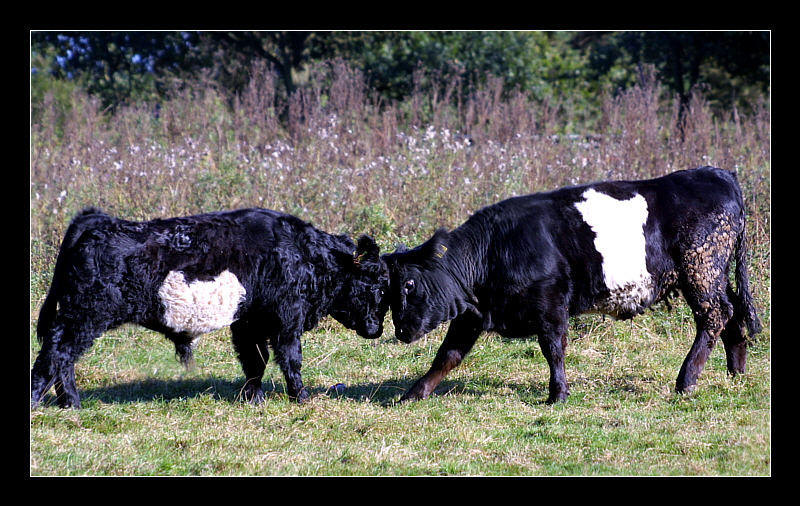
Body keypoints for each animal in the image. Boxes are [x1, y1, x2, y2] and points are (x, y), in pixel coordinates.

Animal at [32, 208, 390, 410]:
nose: (377, 330)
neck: (304, 254)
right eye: (377, 283)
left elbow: (255, 361)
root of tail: (99, 222)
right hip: (86, 315)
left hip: (80, 317)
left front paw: (253, 399)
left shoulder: (248, 321)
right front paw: (301, 398)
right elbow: (290, 360)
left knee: (62, 357)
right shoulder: (287, 320)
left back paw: (69, 404)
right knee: (57, 353)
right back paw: (56, 402)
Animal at [382, 168, 764, 406]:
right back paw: (735, 372)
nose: (400, 330)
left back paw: (686, 380)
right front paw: (413, 394)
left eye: (410, 283)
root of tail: (717, 173)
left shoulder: (551, 303)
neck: (495, 248)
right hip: (711, 273)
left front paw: (557, 394)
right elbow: (447, 356)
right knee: (732, 312)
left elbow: (553, 348)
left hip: (700, 267)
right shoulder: (472, 315)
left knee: (715, 314)